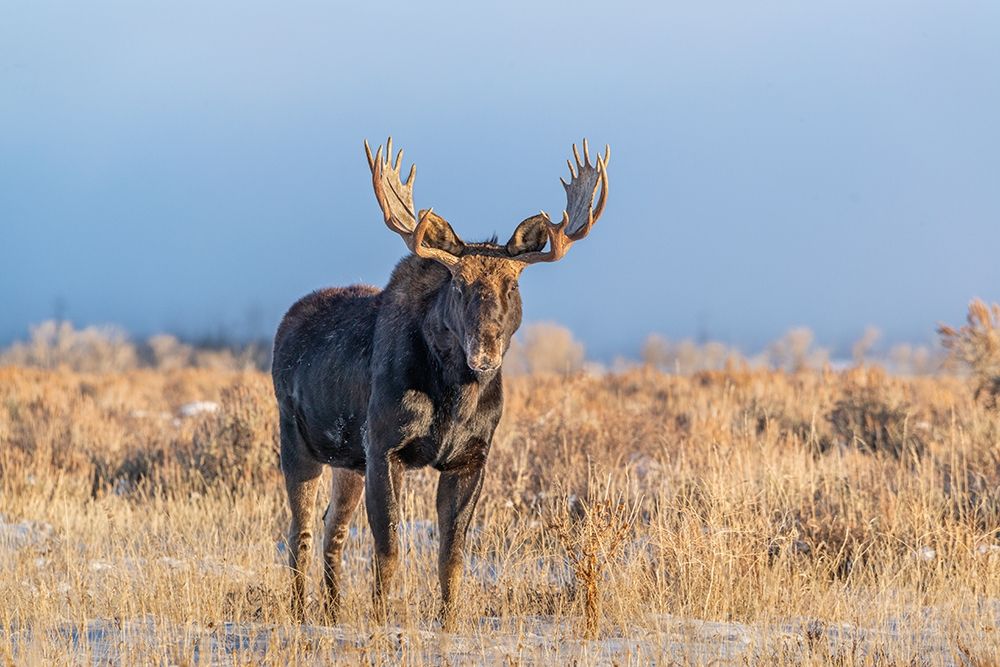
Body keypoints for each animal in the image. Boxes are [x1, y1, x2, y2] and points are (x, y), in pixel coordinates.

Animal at [271, 137, 610, 627]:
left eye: (513, 285)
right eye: (458, 284)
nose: (484, 353)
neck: (456, 399)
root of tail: (284, 326)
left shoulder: (470, 458)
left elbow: (451, 554)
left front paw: (448, 621)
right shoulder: (384, 446)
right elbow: (388, 548)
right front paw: (380, 620)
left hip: (347, 461)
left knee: (332, 529)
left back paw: (333, 612)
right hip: (297, 441)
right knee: (299, 531)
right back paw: (302, 613)